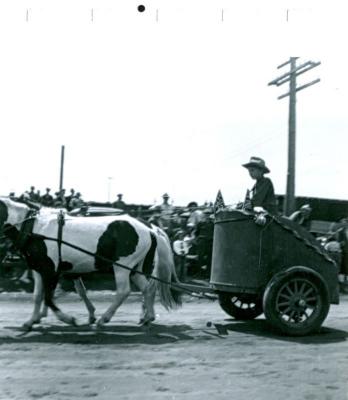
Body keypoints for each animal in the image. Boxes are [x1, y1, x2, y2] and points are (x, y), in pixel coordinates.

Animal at [0, 198, 182, 332]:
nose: (8, 258)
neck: (34, 228)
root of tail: (149, 229)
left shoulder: (51, 271)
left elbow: (49, 298)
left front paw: (69, 319)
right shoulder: (40, 270)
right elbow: (38, 296)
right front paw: (31, 321)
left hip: (122, 266)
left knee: (124, 291)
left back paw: (104, 319)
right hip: (135, 268)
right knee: (148, 289)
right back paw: (147, 318)